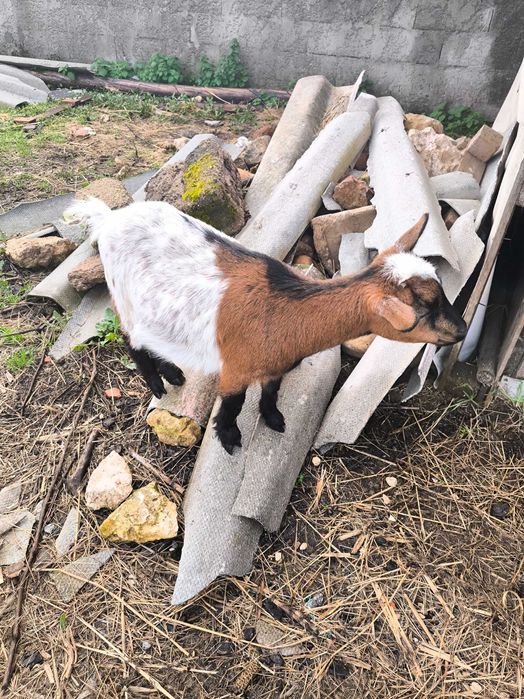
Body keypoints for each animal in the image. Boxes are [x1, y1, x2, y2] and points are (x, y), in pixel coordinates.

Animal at [68, 199, 467, 454]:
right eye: (425, 305)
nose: (461, 330)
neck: (286, 311)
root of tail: (109, 219)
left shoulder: (276, 364)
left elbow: (272, 392)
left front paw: (274, 419)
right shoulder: (235, 368)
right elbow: (233, 404)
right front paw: (229, 437)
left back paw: (174, 373)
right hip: (123, 296)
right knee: (131, 339)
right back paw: (158, 381)